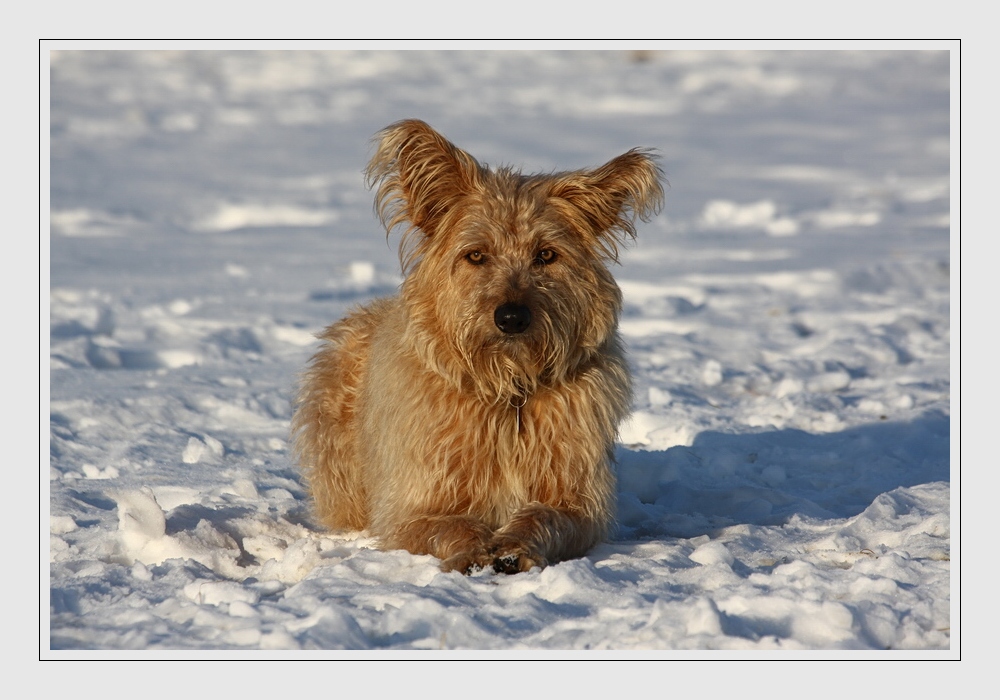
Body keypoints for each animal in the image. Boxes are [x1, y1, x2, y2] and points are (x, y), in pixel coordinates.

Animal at [292, 117, 664, 572]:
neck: (508, 391)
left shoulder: (580, 503)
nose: (512, 317)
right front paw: (472, 548)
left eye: (546, 254)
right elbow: (449, 524)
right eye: (475, 255)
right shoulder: (411, 507)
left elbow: (546, 515)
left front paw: (515, 543)